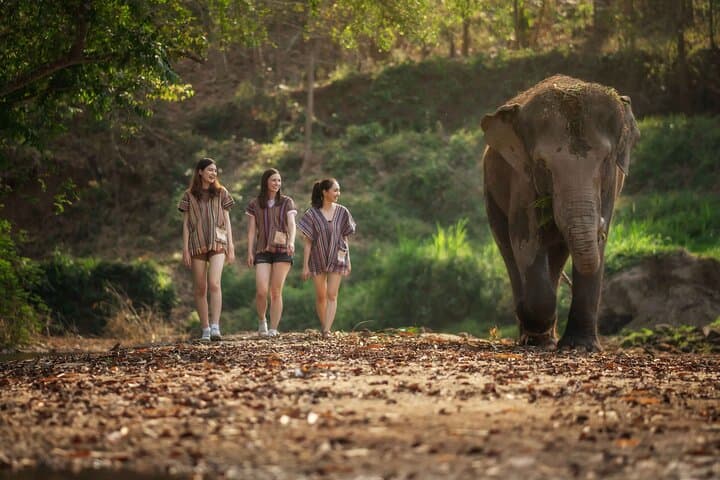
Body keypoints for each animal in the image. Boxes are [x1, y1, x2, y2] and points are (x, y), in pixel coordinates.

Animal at [480, 74, 640, 351]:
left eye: (606, 160)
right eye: (543, 165)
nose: (599, 225)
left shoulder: (612, 185)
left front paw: (581, 347)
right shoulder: (523, 180)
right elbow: (526, 241)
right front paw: (536, 329)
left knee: (557, 254)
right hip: (491, 191)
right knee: (508, 248)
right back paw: (533, 335)